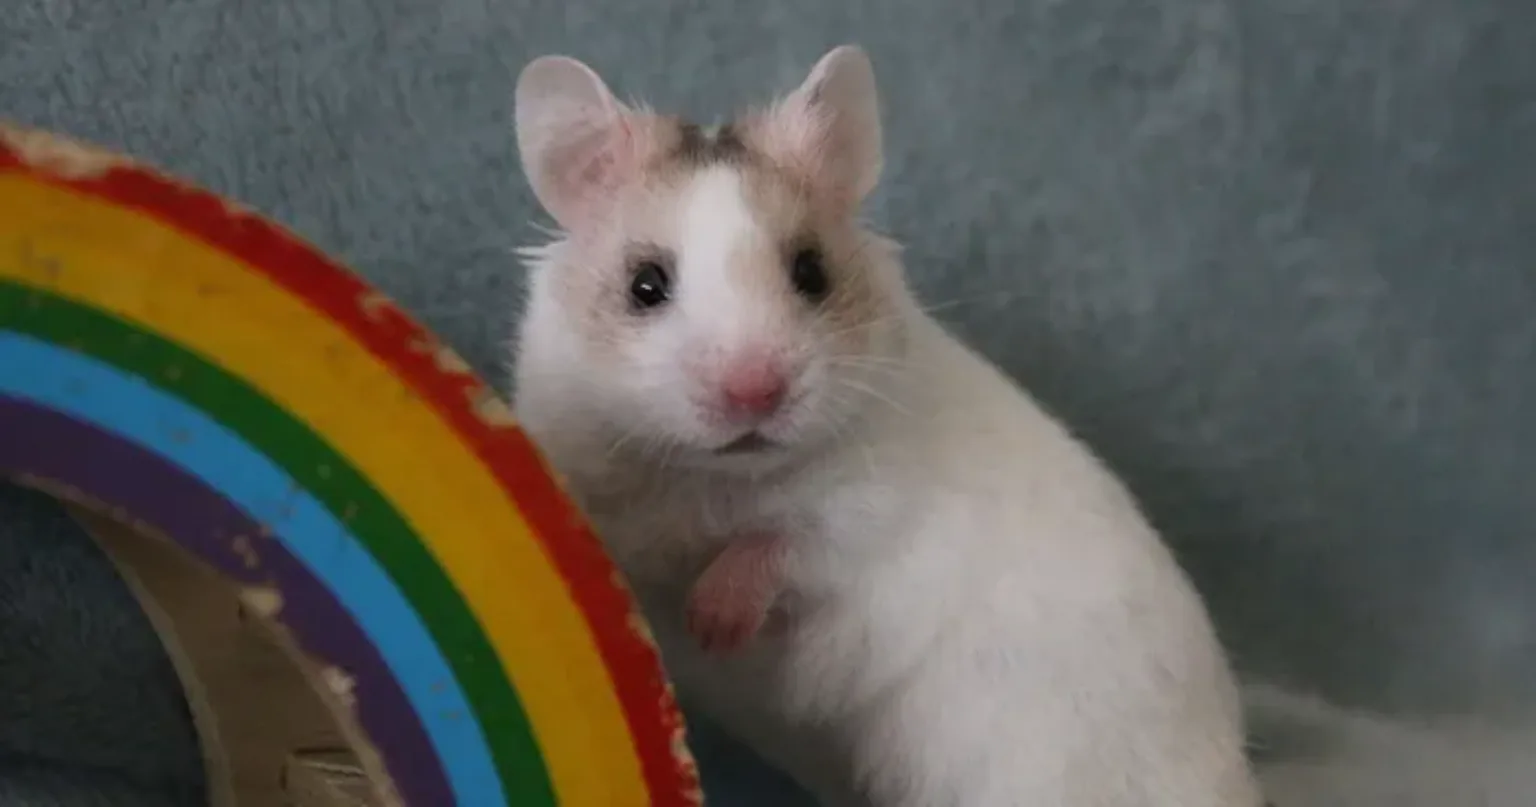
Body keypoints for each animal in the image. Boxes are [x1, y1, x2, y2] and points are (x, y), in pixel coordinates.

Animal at [508, 44, 1266, 807]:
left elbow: (779, 545)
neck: (715, 477)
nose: (756, 392)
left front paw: (714, 623)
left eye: (811, 271)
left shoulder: (866, 511)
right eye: (646, 285)